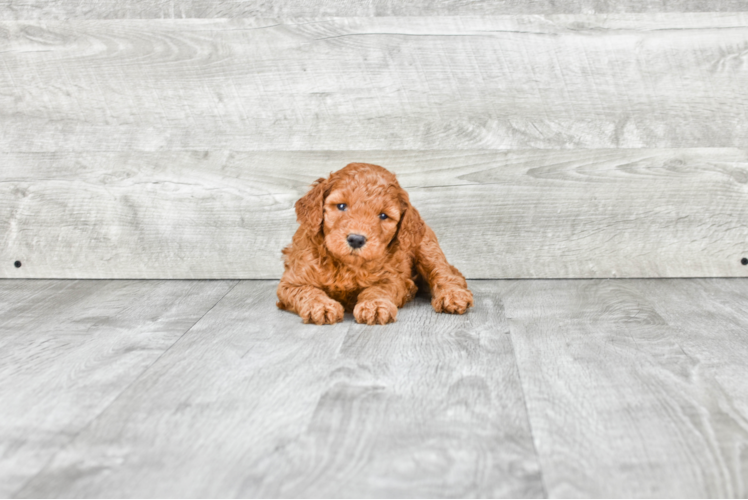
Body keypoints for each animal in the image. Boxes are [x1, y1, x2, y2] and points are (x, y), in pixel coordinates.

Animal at [274, 162, 474, 324]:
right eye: (341, 206)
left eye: (383, 216)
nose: (356, 239)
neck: (346, 266)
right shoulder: (291, 282)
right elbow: (307, 291)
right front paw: (321, 306)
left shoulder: (391, 278)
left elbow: (378, 290)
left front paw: (374, 306)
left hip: (426, 247)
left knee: (446, 273)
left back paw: (452, 295)